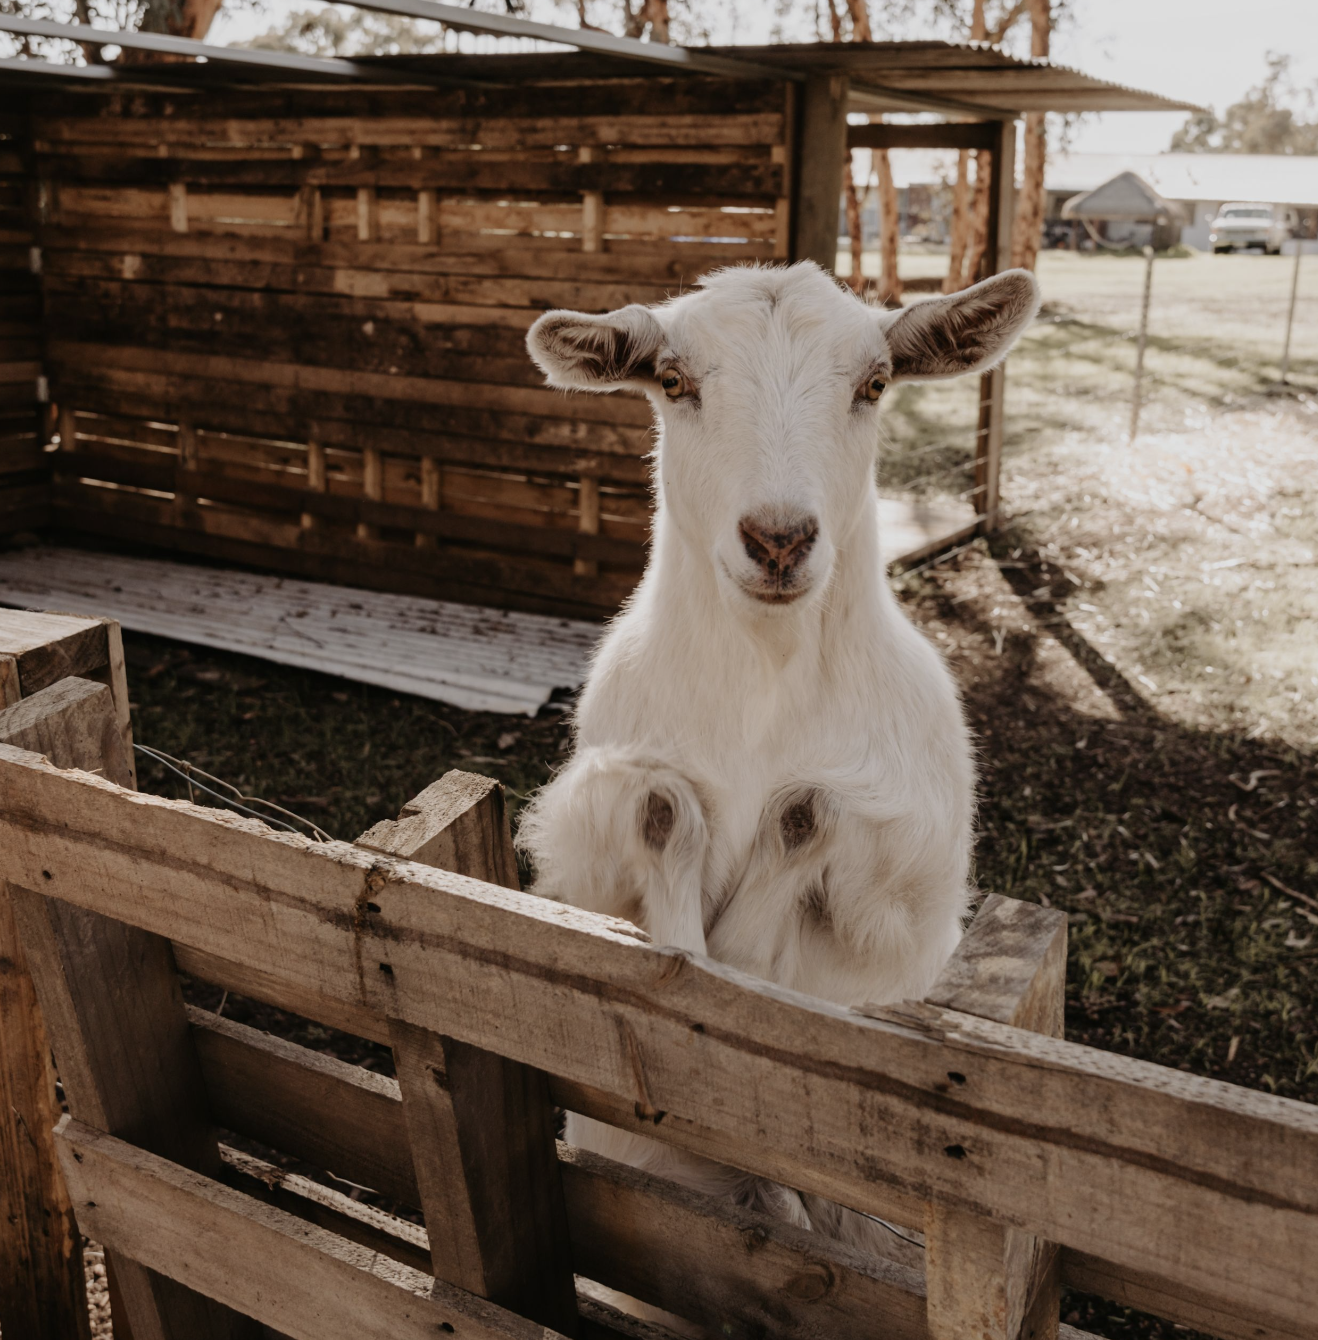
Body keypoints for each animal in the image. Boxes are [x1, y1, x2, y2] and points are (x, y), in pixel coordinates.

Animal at [518, 261, 1041, 1243]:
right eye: (672, 380)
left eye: (875, 383)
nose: (778, 539)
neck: (764, 690)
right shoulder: (583, 847)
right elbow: (661, 807)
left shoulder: (904, 892)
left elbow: (807, 810)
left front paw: (744, 990)